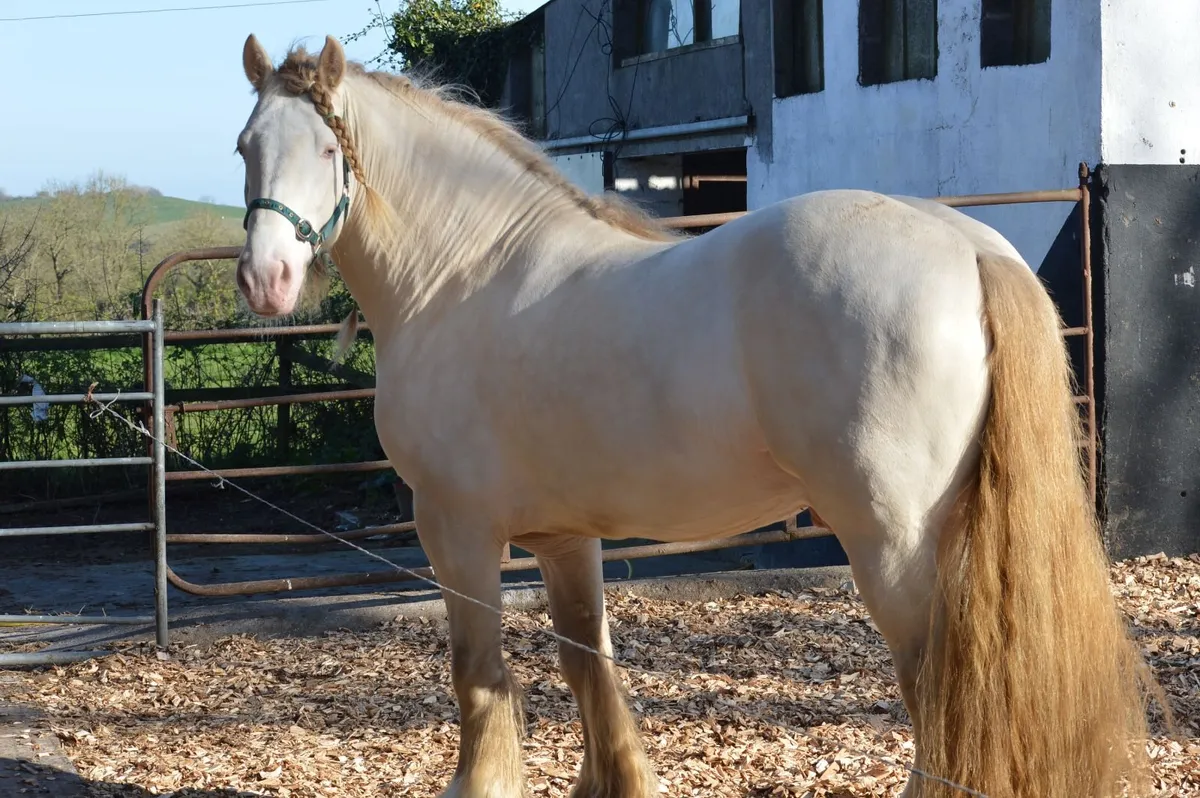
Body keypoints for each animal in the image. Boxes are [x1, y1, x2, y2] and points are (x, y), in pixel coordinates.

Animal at [230, 33, 1159, 798]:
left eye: (326, 147)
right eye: (245, 147)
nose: (265, 280)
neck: (463, 273)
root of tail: (966, 246)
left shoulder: (455, 527)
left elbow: (478, 672)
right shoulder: (565, 538)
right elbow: (586, 658)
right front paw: (613, 783)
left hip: (892, 544)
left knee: (934, 688)